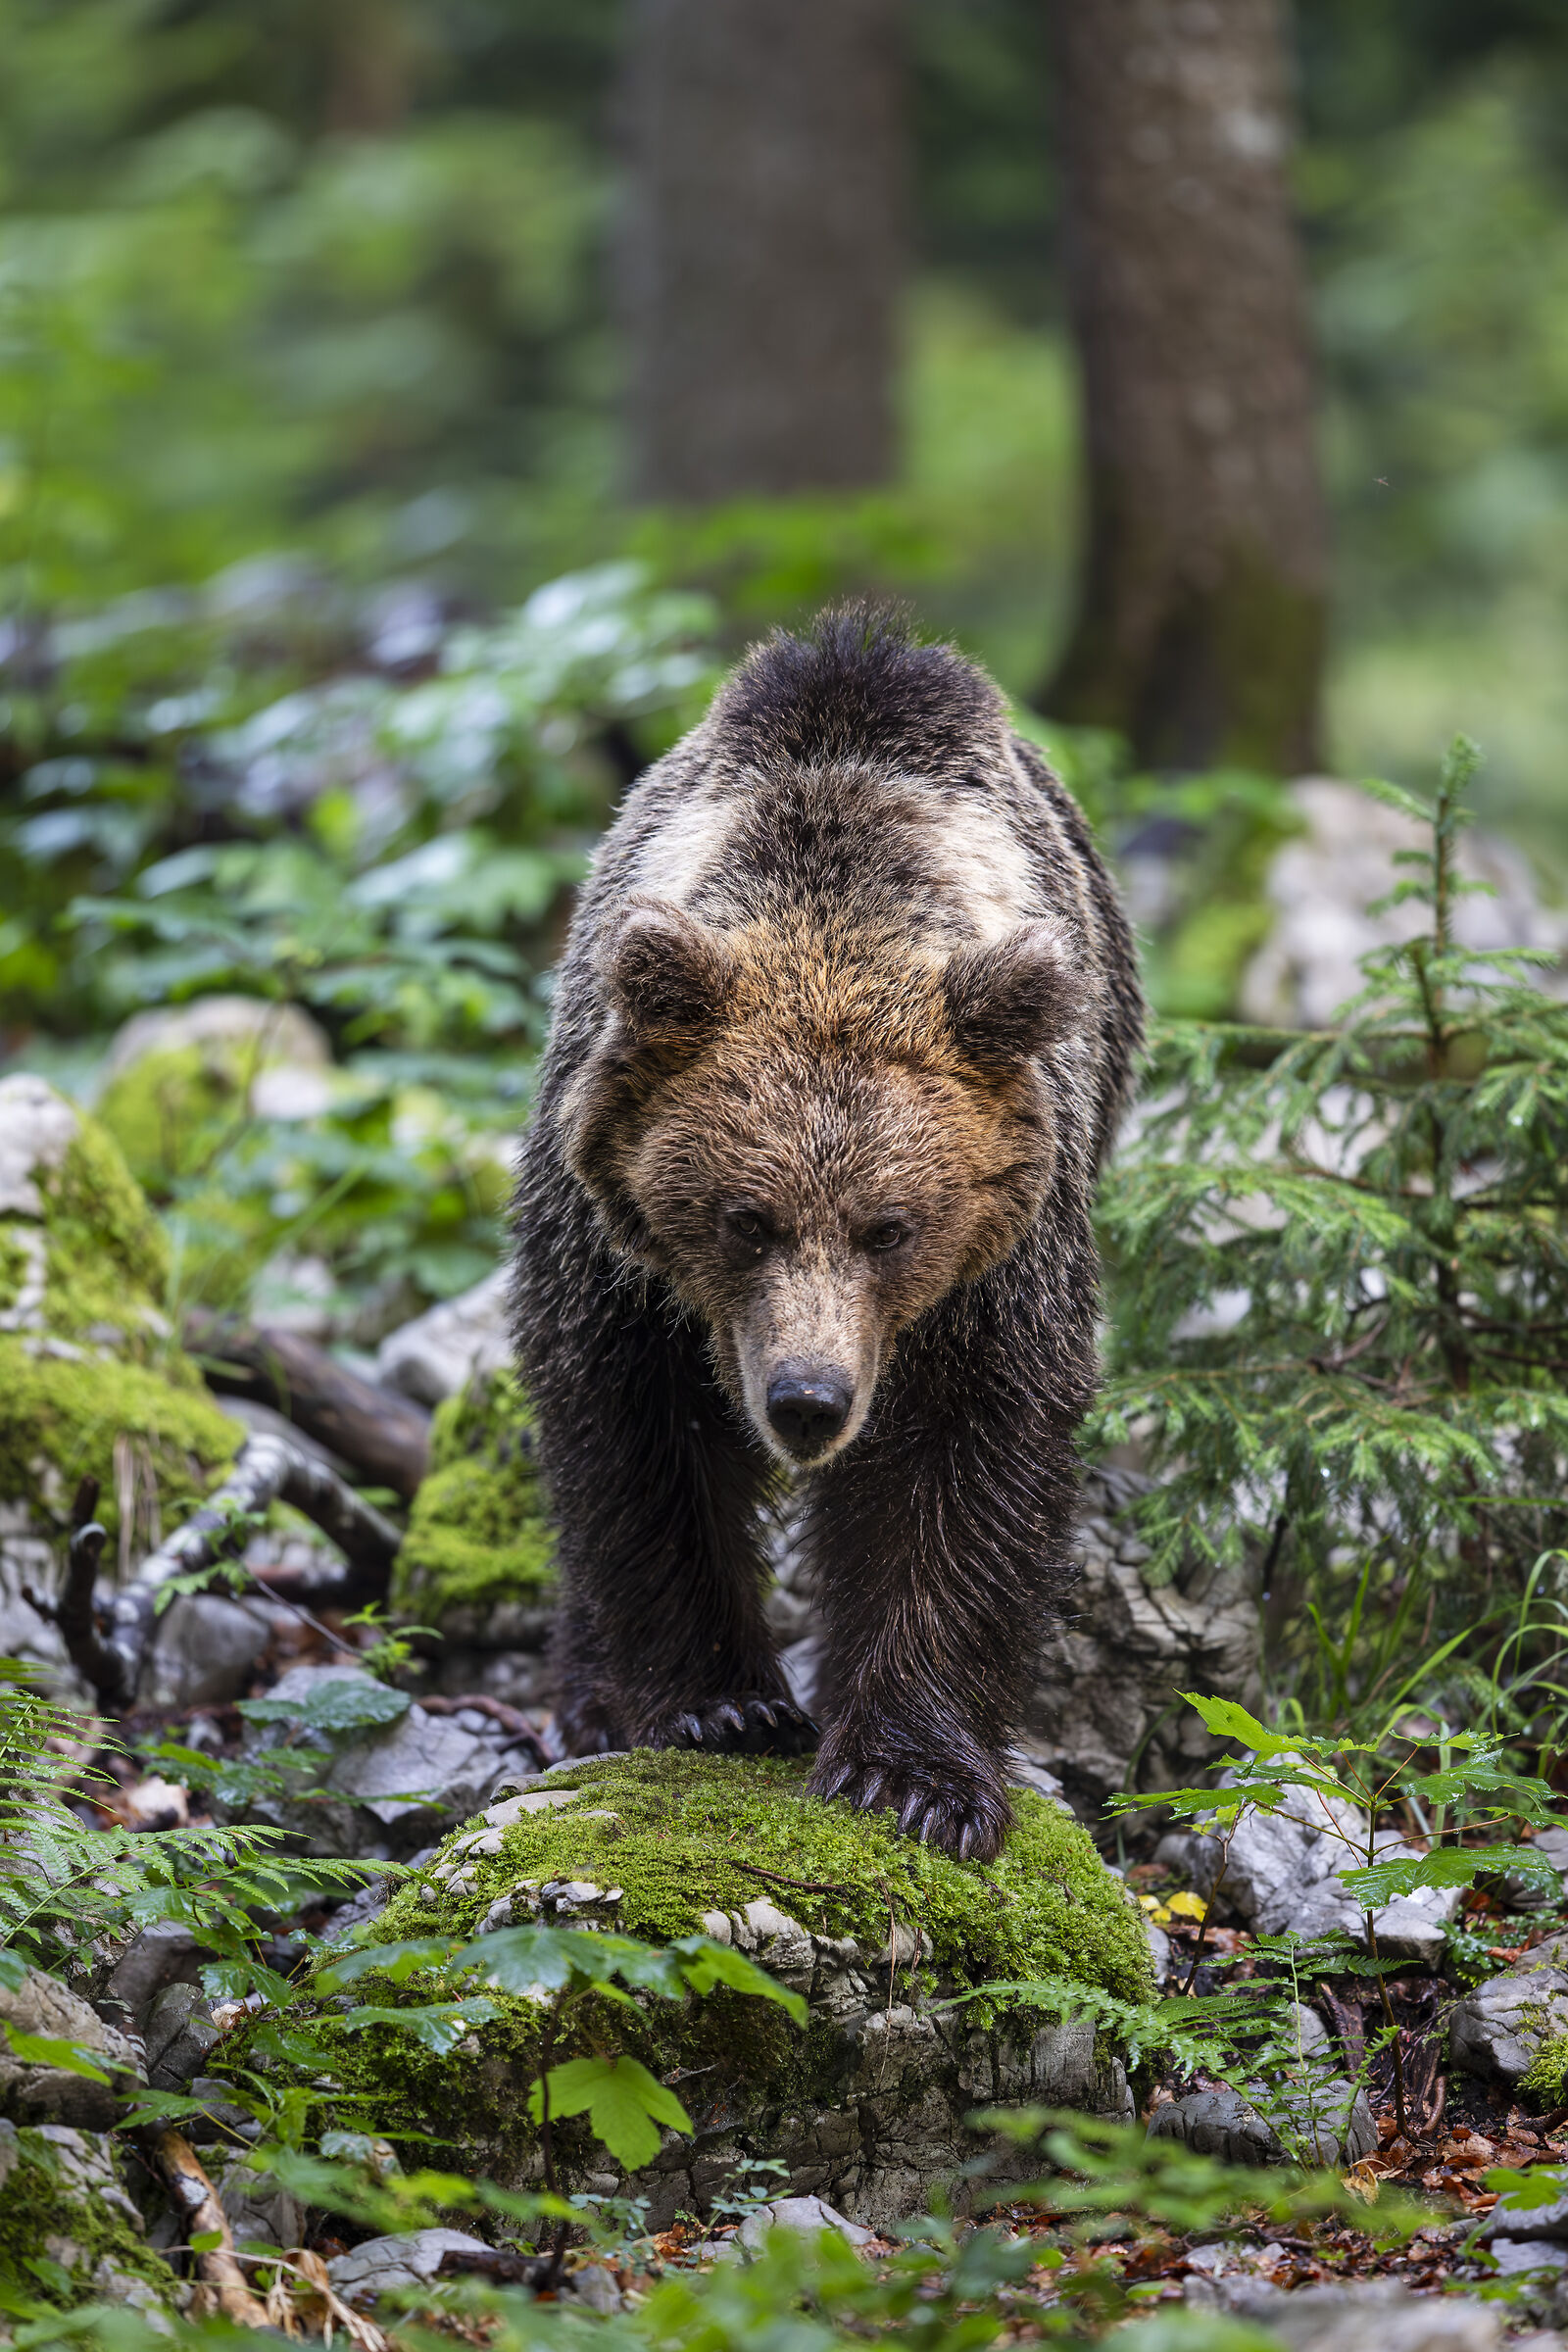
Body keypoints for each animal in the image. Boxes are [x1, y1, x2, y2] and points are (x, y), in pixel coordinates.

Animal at [511, 608, 1143, 1860]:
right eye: (743, 1217)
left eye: (890, 1227)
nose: (808, 1399)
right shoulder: (612, 1255)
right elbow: (634, 1443)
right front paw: (719, 1704)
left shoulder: (996, 1271)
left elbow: (964, 1464)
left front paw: (914, 1776)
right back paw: (590, 1693)